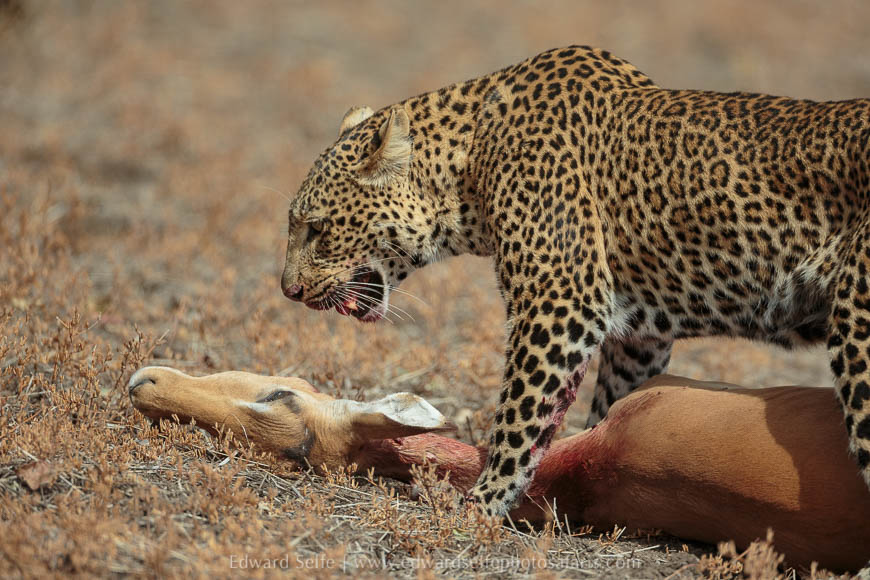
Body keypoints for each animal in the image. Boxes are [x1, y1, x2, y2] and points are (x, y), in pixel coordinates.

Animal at [280, 45, 870, 517]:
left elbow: (520, 415)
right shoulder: (638, 336)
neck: (469, 166)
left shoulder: (559, 302)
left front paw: (482, 504)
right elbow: (607, 400)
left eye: (317, 228)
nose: (288, 290)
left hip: (857, 328)